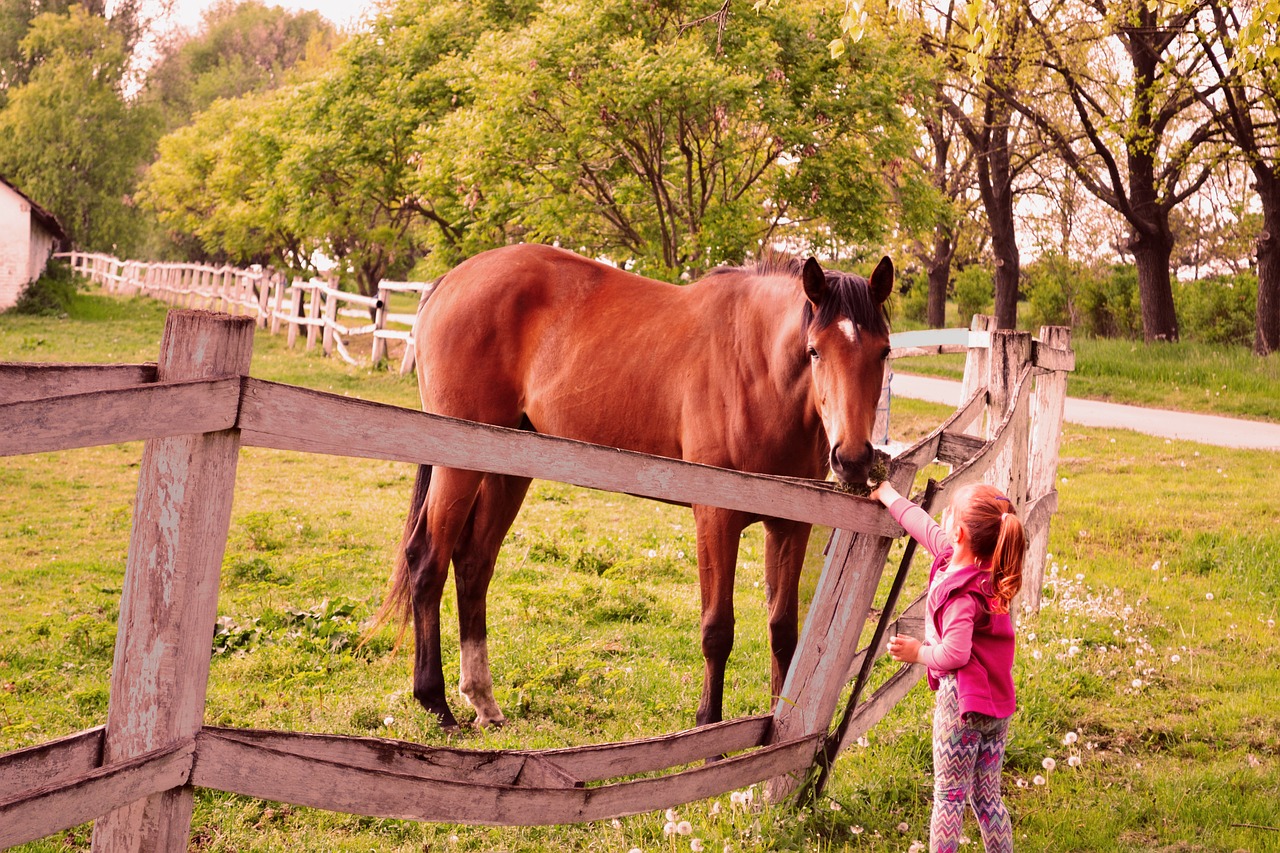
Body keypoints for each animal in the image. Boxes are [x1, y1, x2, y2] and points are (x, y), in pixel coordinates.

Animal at [384, 240, 896, 722]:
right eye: (815, 350)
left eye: (884, 351)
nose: (853, 459)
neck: (757, 369)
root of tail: (450, 281)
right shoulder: (715, 516)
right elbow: (717, 630)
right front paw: (708, 727)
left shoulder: (790, 525)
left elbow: (783, 631)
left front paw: (774, 731)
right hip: (459, 465)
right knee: (428, 559)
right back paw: (436, 703)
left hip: (507, 467)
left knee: (474, 564)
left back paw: (484, 702)